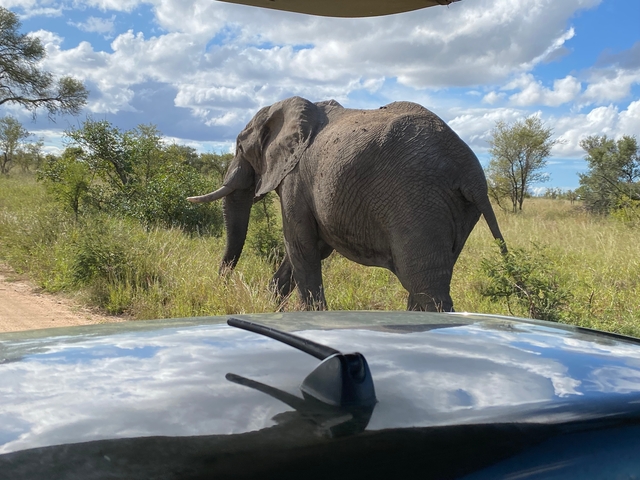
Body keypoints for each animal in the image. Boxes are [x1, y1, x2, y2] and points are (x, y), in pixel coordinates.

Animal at [188, 96, 506, 312]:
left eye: (240, 147)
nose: (222, 288)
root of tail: (472, 174)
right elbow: (308, 248)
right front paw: (272, 307)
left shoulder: (295, 179)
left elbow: (300, 245)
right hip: (456, 209)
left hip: (418, 200)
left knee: (426, 286)